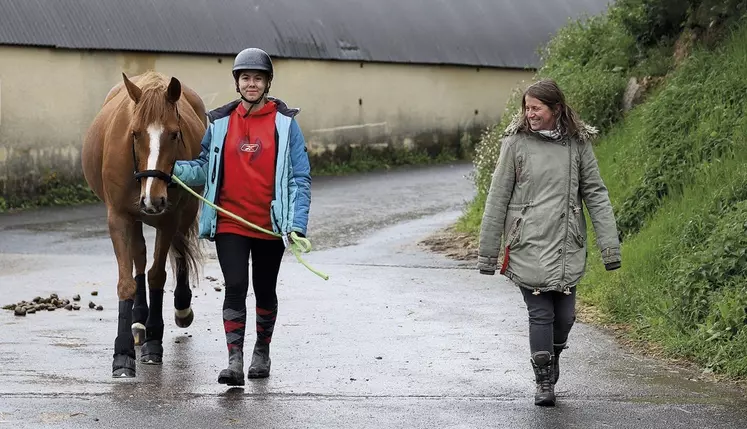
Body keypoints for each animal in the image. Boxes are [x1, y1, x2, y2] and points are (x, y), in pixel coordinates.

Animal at [82, 72, 207, 376]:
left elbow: (157, 275)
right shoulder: (118, 218)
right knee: (139, 255)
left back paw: (180, 308)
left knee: (178, 251)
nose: (153, 198)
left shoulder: (169, 218)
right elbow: (127, 281)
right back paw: (138, 320)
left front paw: (154, 342)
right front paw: (123, 352)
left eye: (174, 133)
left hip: (184, 213)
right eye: (135, 133)